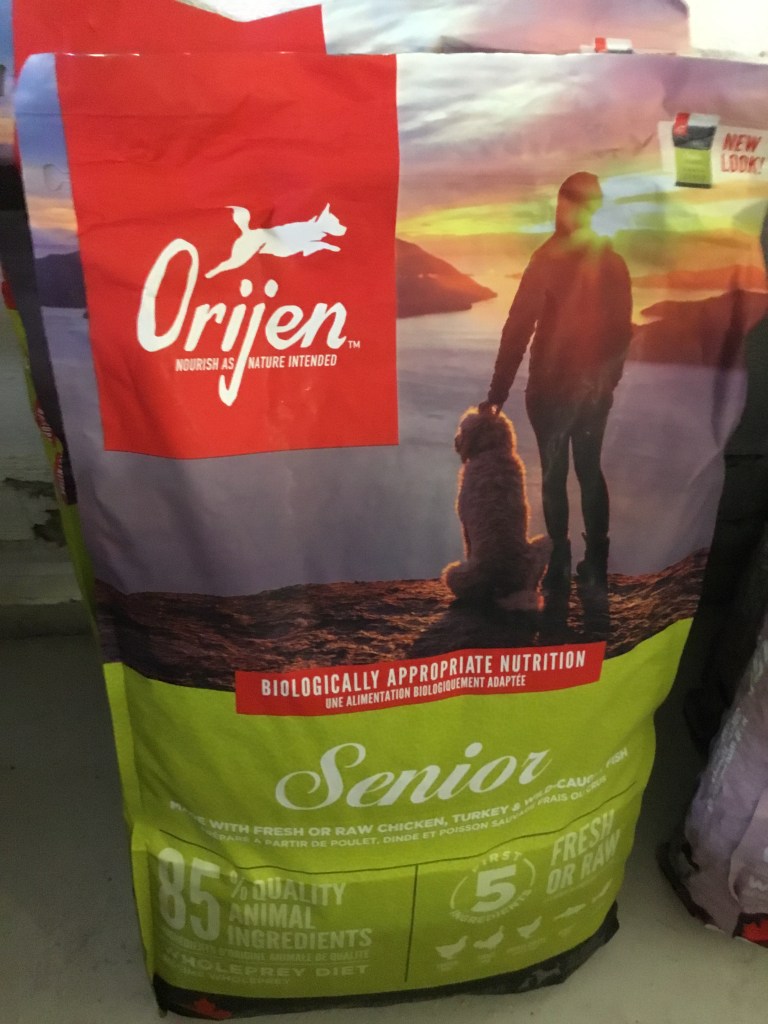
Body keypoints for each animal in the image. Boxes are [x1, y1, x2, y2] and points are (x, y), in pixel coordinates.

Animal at [206, 204, 347, 278]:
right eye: (336, 222)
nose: (345, 228)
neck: (314, 228)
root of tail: (247, 232)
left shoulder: (307, 250)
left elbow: (321, 243)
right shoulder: (306, 247)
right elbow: (322, 243)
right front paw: (335, 247)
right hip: (241, 257)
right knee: (224, 265)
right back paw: (209, 275)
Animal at [442, 407, 551, 610]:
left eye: (462, 428)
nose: (455, 441)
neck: (493, 449)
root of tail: (505, 583)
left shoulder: (464, 522)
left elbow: (468, 545)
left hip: (455, 573)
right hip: (544, 545)